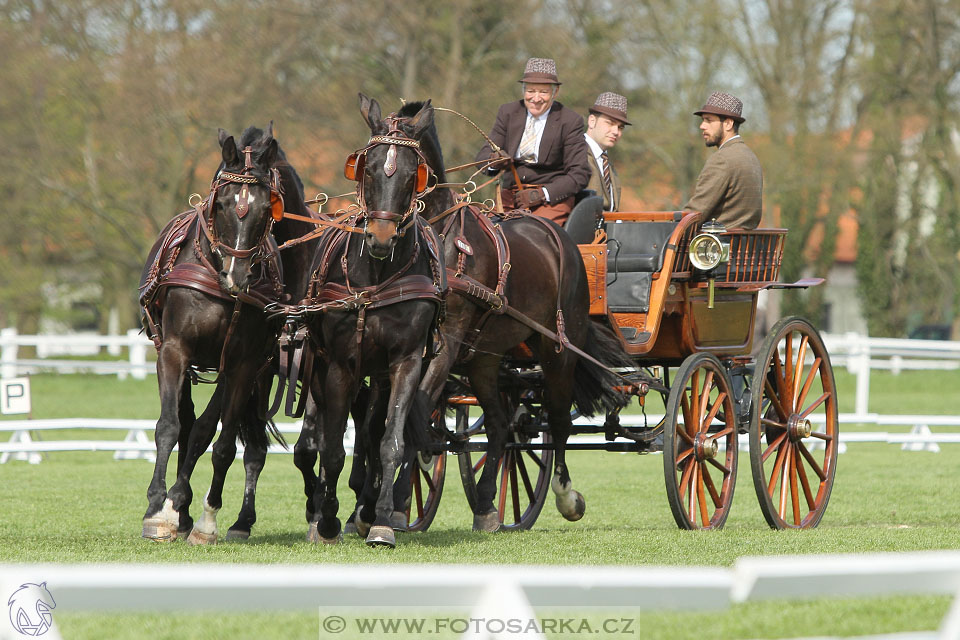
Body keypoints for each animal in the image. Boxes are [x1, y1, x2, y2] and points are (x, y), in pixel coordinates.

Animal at [140, 126, 318, 544]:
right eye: (221, 204)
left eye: (267, 208)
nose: (237, 277)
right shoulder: (173, 351)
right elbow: (169, 426)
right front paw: (158, 509)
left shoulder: (243, 365)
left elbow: (219, 442)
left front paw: (204, 519)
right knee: (186, 423)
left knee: (226, 437)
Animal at [288, 97, 446, 548]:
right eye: (369, 168)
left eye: (413, 174)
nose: (381, 238)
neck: (376, 278)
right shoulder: (341, 365)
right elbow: (332, 448)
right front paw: (326, 519)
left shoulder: (406, 361)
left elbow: (390, 441)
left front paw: (381, 520)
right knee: (328, 435)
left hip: (378, 373)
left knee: (372, 431)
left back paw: (367, 505)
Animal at [346, 95, 632, 532]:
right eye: (369, 166)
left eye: (413, 173)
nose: (380, 238)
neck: (436, 248)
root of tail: (559, 238)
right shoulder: (393, 350)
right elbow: (380, 422)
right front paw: (364, 506)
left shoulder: (444, 346)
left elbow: (415, 413)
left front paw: (394, 504)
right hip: (485, 359)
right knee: (501, 425)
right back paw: (484, 505)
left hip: (557, 349)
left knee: (558, 420)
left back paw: (567, 497)